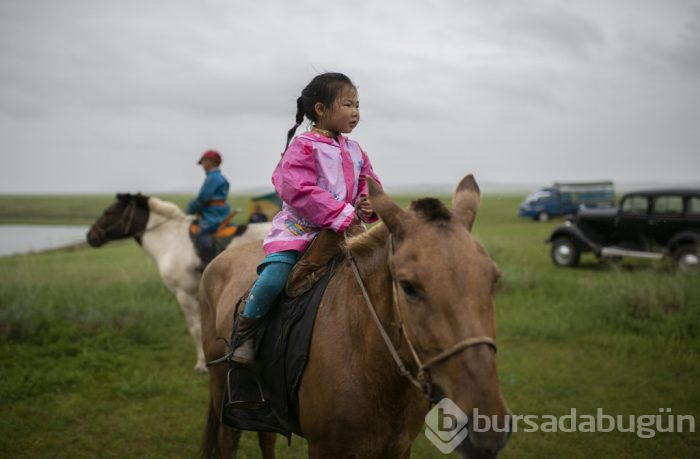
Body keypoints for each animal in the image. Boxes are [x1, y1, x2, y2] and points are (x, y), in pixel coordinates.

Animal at [86, 194, 272, 374]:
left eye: (109, 213)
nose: (90, 236)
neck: (170, 240)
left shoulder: (184, 294)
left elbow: (195, 328)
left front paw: (200, 364)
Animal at [200, 174, 512, 458]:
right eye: (408, 287)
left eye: (493, 279)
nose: (485, 426)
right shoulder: (325, 449)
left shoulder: (399, 447)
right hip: (221, 390)